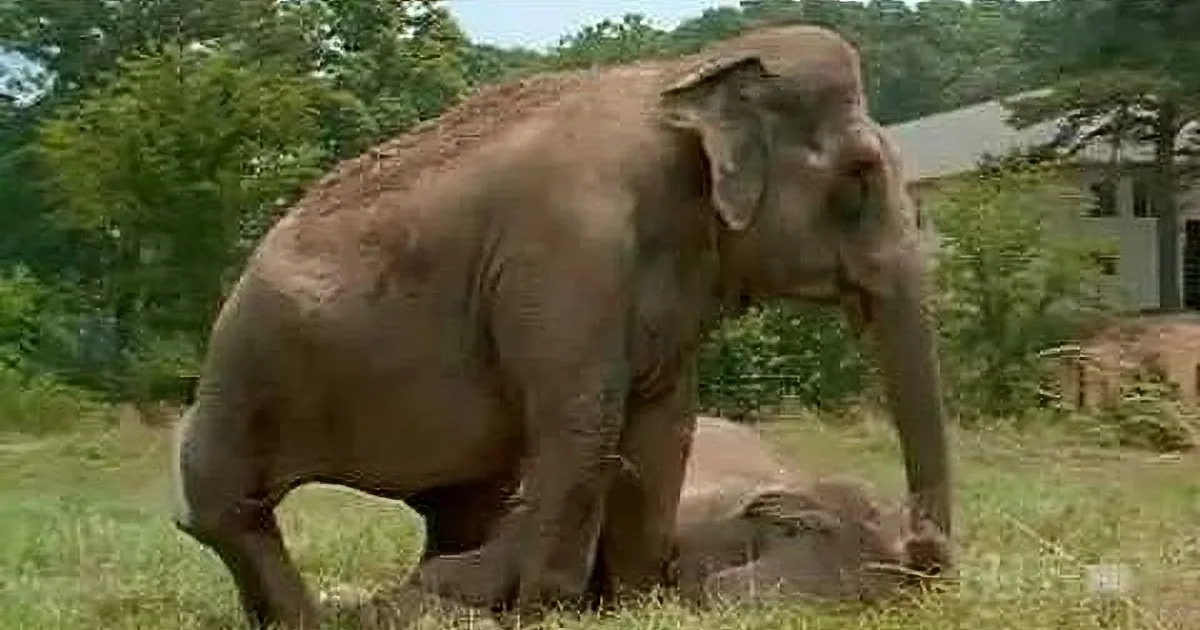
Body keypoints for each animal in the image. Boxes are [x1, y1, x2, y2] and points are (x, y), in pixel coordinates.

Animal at [170, 22, 952, 630]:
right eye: (858, 176)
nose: (916, 546)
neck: (687, 75)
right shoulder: (566, 250)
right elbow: (581, 421)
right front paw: (550, 614)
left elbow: (665, 422)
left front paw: (636, 605)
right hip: (247, 361)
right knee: (227, 507)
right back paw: (311, 614)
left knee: (462, 503)